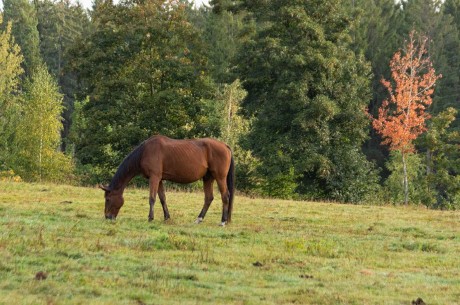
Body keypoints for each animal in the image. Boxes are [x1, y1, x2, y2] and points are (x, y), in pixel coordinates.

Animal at [99, 134, 235, 224]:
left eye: (108, 199)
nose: (107, 217)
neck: (145, 151)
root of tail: (225, 146)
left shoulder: (154, 177)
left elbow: (152, 198)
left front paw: (150, 218)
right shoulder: (159, 179)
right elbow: (162, 198)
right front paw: (167, 217)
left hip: (220, 177)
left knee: (225, 196)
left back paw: (223, 221)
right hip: (208, 178)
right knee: (208, 198)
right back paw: (199, 219)